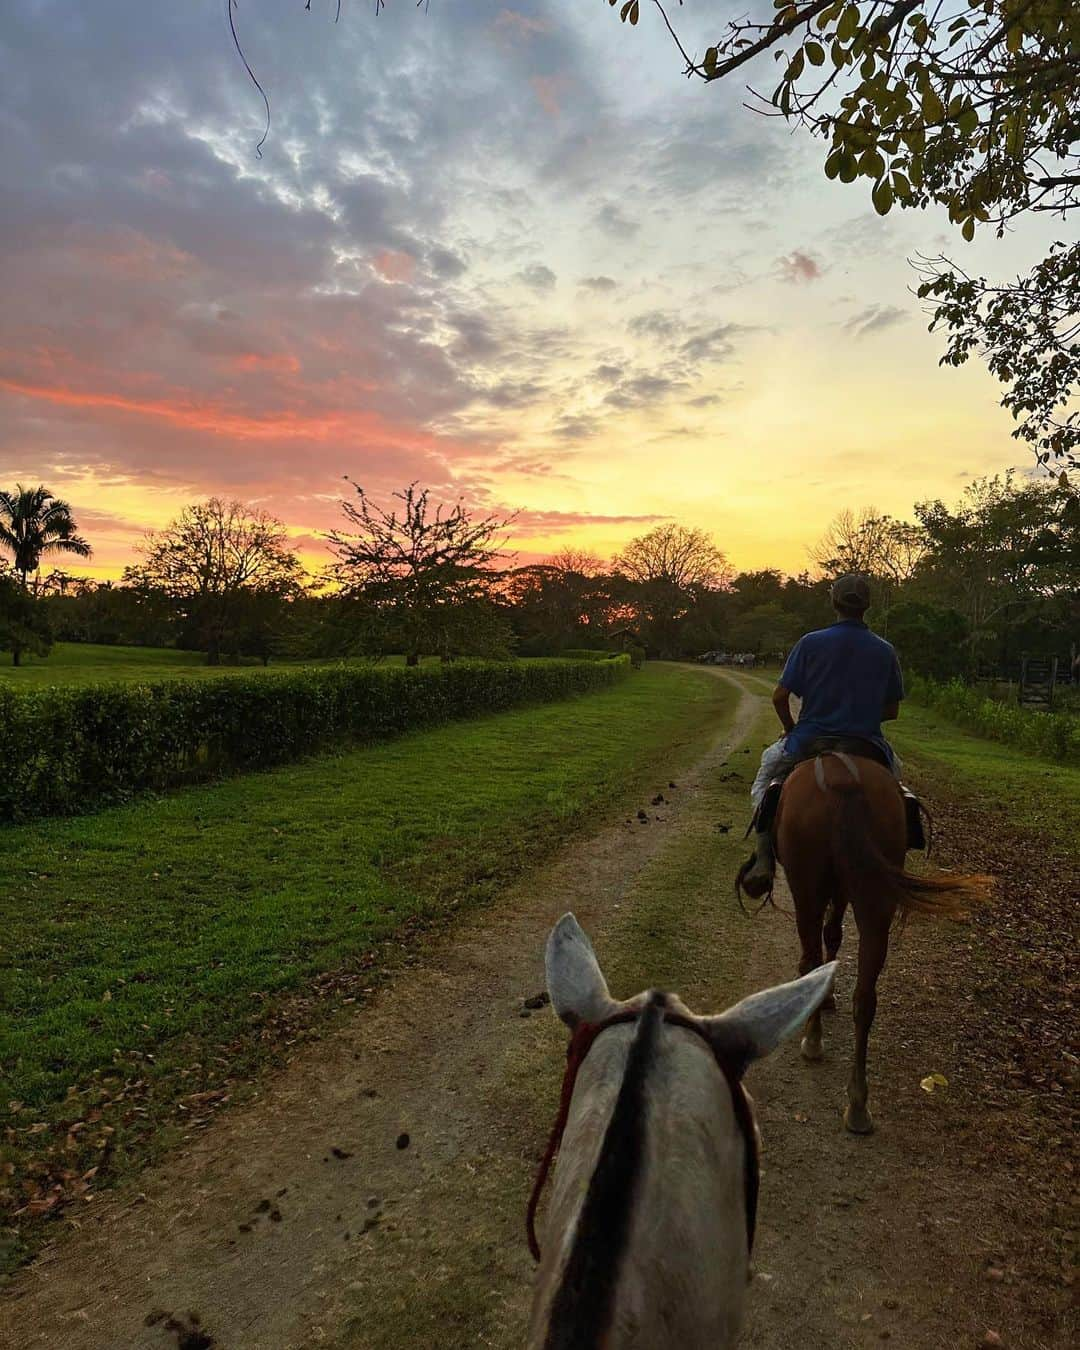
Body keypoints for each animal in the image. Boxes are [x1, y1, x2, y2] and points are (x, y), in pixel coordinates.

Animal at [772, 756, 993, 1134]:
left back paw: (813, 1042)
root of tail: (843, 780)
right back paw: (858, 1104)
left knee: (813, 960)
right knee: (865, 997)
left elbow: (820, 946)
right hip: (874, 897)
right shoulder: (844, 889)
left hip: (809, 889)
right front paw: (829, 997)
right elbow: (835, 934)